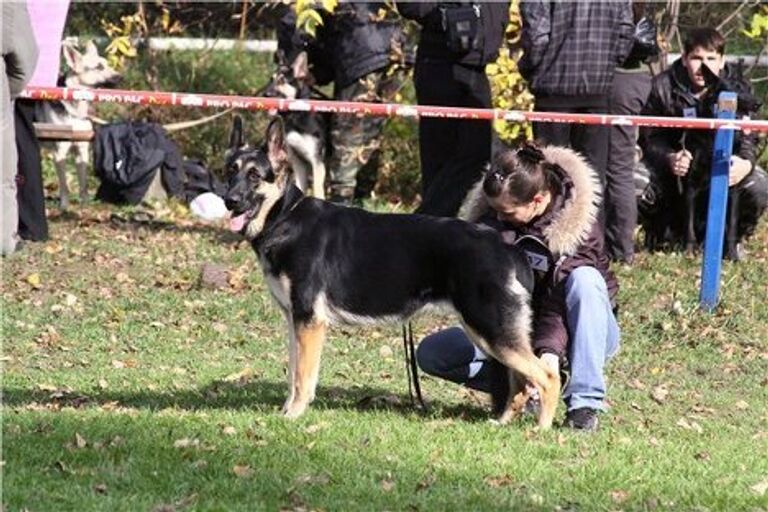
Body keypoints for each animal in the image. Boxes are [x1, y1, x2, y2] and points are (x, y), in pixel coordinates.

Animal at [35, 39, 120, 209]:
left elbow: (84, 183)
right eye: (99, 67)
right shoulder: (59, 154)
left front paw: (85, 204)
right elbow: (64, 185)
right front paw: (64, 206)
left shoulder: (82, 152)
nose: (121, 77)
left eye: (107, 64)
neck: (74, 110)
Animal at [222, 116, 560, 428]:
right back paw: (502, 422)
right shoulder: (295, 321)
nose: (229, 201)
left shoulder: (309, 322)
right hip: (491, 334)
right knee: (520, 381)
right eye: (230, 172)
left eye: (254, 175)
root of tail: (507, 248)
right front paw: (286, 411)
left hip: (491, 331)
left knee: (547, 376)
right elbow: (293, 372)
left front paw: (294, 415)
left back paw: (541, 430)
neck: (283, 218)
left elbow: (303, 376)